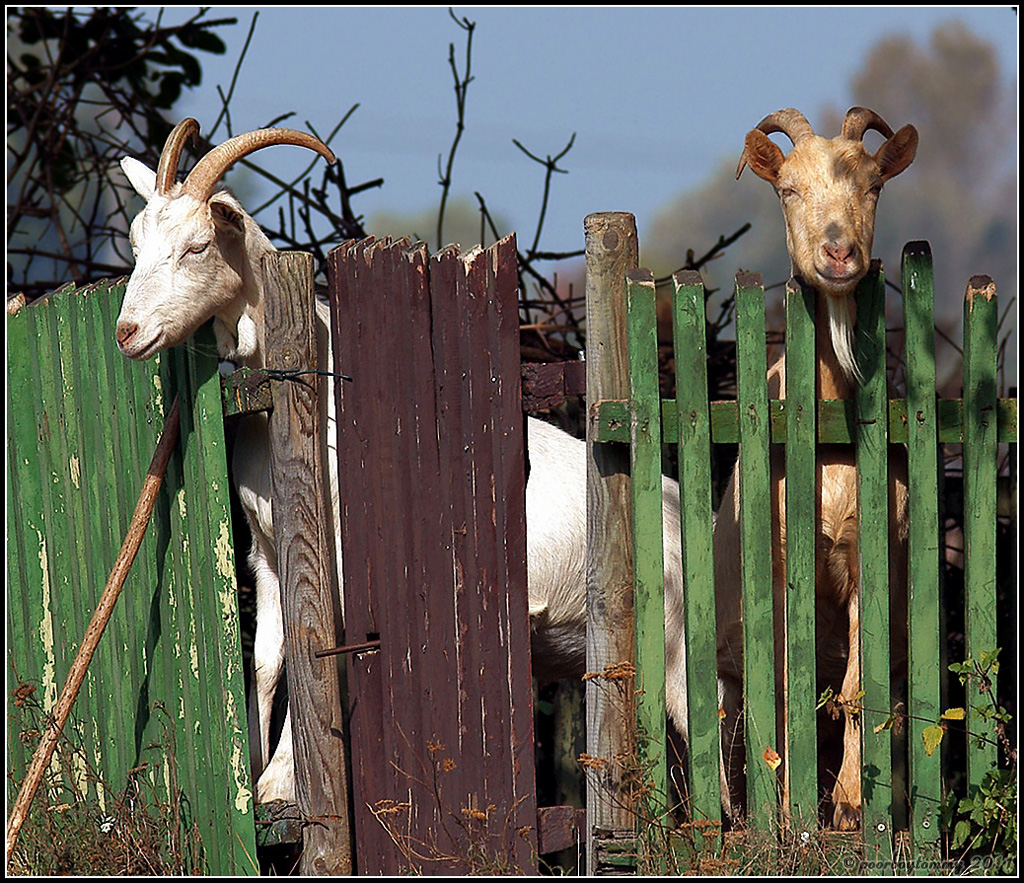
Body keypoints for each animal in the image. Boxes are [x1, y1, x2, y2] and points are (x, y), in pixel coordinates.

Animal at [117, 120, 688, 807]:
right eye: (135, 242)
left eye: (197, 246)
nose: (127, 332)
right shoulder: (267, 551)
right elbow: (270, 657)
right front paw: (259, 781)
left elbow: (324, 648)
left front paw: (286, 782)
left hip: (679, 651)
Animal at [716, 105, 917, 827]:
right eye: (789, 189)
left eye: (874, 185)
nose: (838, 253)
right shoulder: (776, 564)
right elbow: (780, 685)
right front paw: (784, 810)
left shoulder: (871, 556)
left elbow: (859, 689)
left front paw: (852, 806)